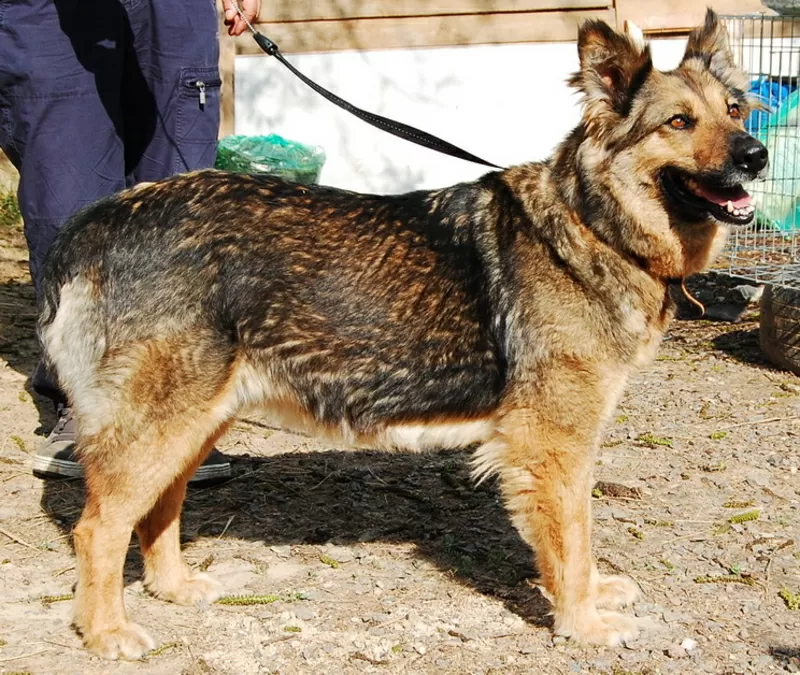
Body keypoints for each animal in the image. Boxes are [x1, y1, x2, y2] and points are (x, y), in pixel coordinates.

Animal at [37, 9, 768, 660]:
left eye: (736, 111)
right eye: (679, 122)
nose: (759, 156)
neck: (591, 220)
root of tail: (99, 220)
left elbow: (577, 536)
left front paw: (589, 594)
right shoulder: (553, 445)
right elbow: (572, 535)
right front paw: (582, 621)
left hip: (196, 422)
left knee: (159, 507)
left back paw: (173, 586)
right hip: (164, 424)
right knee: (98, 528)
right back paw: (106, 630)